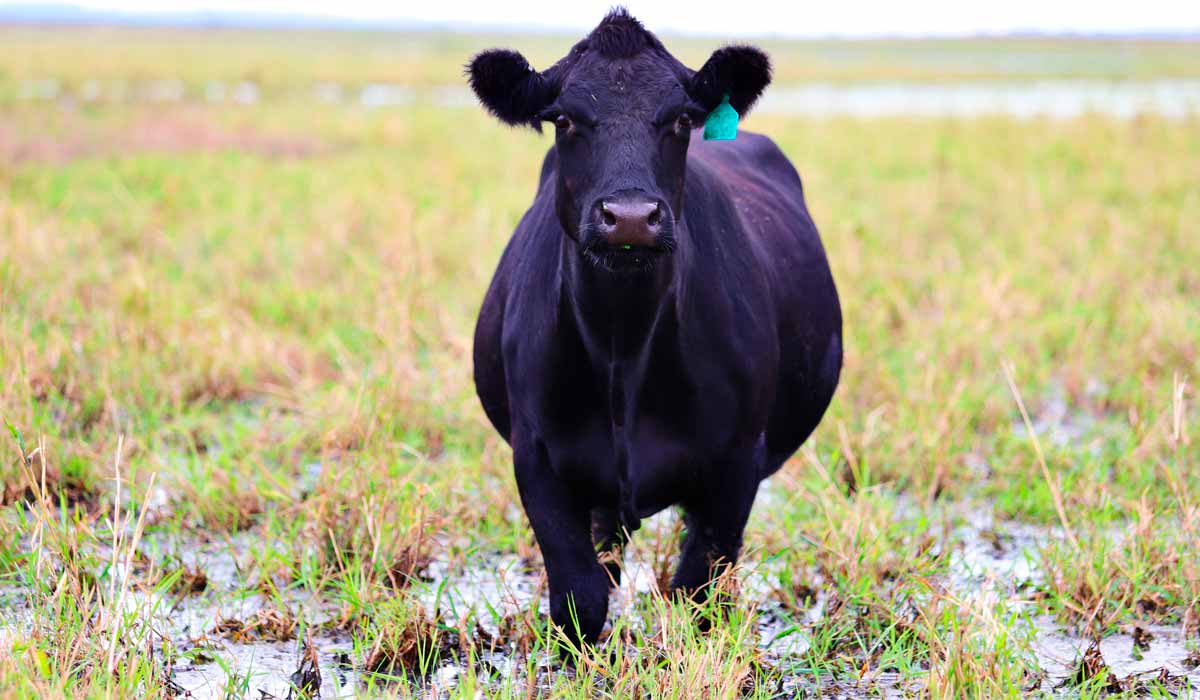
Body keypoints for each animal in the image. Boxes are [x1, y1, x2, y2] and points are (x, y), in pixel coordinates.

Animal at [463, 9, 840, 648]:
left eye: (682, 119)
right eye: (564, 118)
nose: (632, 218)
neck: (623, 339)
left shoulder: (738, 462)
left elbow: (697, 595)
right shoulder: (537, 459)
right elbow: (580, 598)